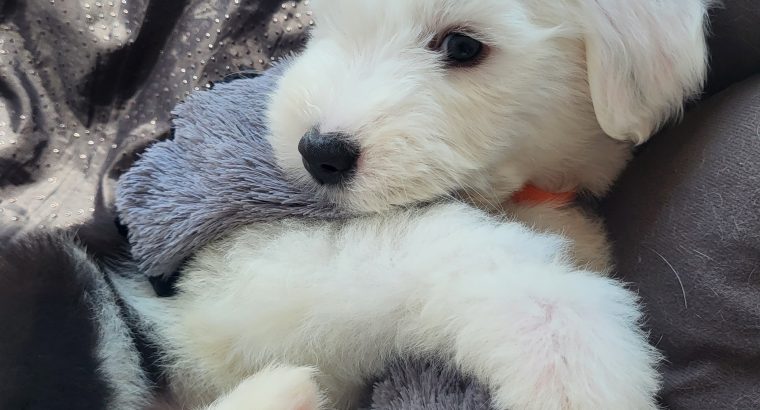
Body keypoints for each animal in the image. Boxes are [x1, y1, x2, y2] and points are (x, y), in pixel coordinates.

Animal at [123, 0, 712, 408]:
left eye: (463, 46)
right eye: (328, 20)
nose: (318, 153)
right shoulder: (234, 282)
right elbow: (447, 246)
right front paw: (570, 365)